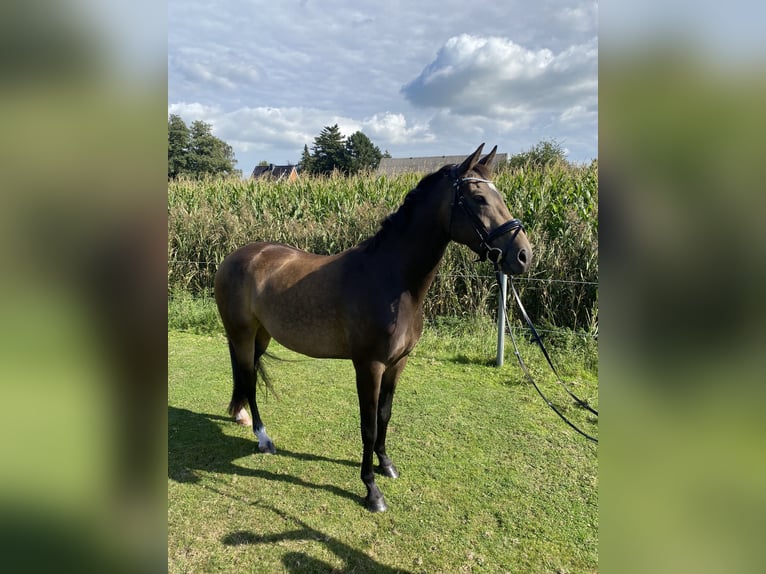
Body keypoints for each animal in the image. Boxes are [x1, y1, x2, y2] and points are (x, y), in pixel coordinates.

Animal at [213, 144, 532, 512]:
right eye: (479, 198)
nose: (524, 255)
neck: (393, 281)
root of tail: (236, 256)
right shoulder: (369, 366)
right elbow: (367, 425)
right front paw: (371, 488)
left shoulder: (397, 363)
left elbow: (384, 415)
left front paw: (386, 464)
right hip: (241, 333)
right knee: (249, 379)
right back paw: (263, 437)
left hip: (261, 335)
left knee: (247, 374)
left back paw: (241, 416)